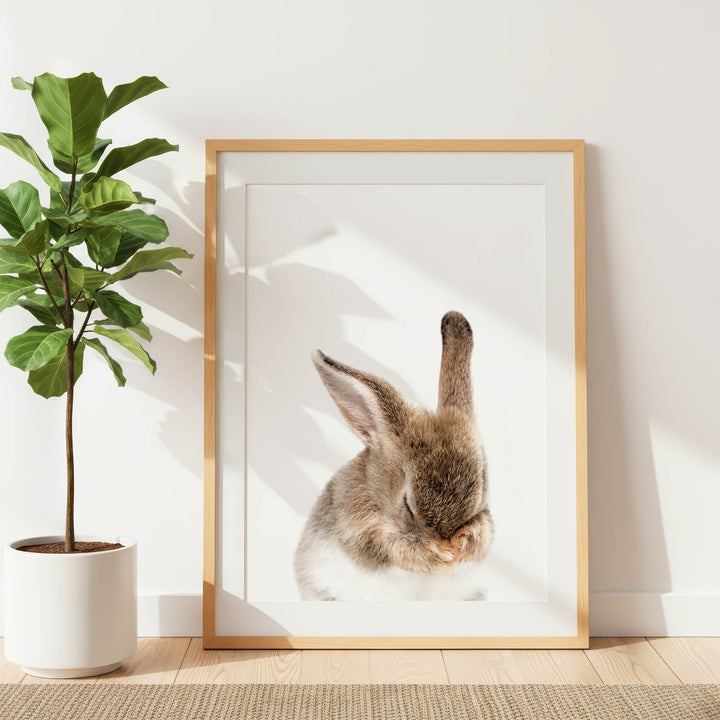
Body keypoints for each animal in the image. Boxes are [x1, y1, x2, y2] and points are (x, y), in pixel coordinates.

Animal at [294, 311, 494, 601]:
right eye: (407, 504)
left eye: (481, 491)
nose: (448, 540)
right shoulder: (365, 534)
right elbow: (396, 548)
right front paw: (440, 553)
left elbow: (484, 533)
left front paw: (463, 543)